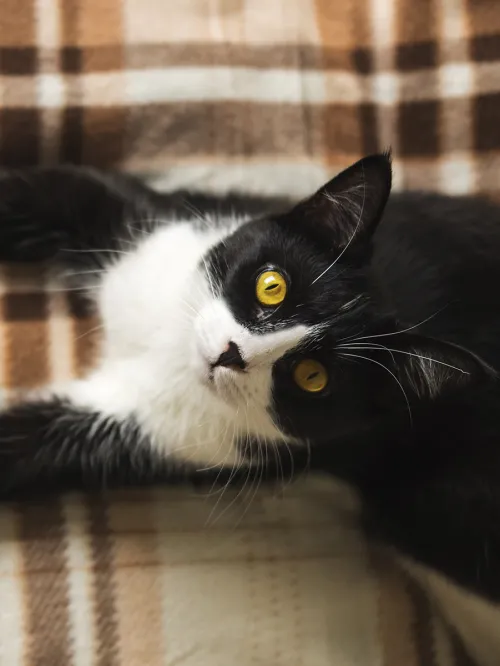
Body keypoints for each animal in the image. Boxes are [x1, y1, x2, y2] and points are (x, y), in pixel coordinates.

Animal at [0, 154, 500, 660]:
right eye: (270, 285)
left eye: (313, 377)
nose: (231, 354)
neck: (171, 345)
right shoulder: (164, 225)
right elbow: (62, 189)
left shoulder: (206, 442)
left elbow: (39, 444)